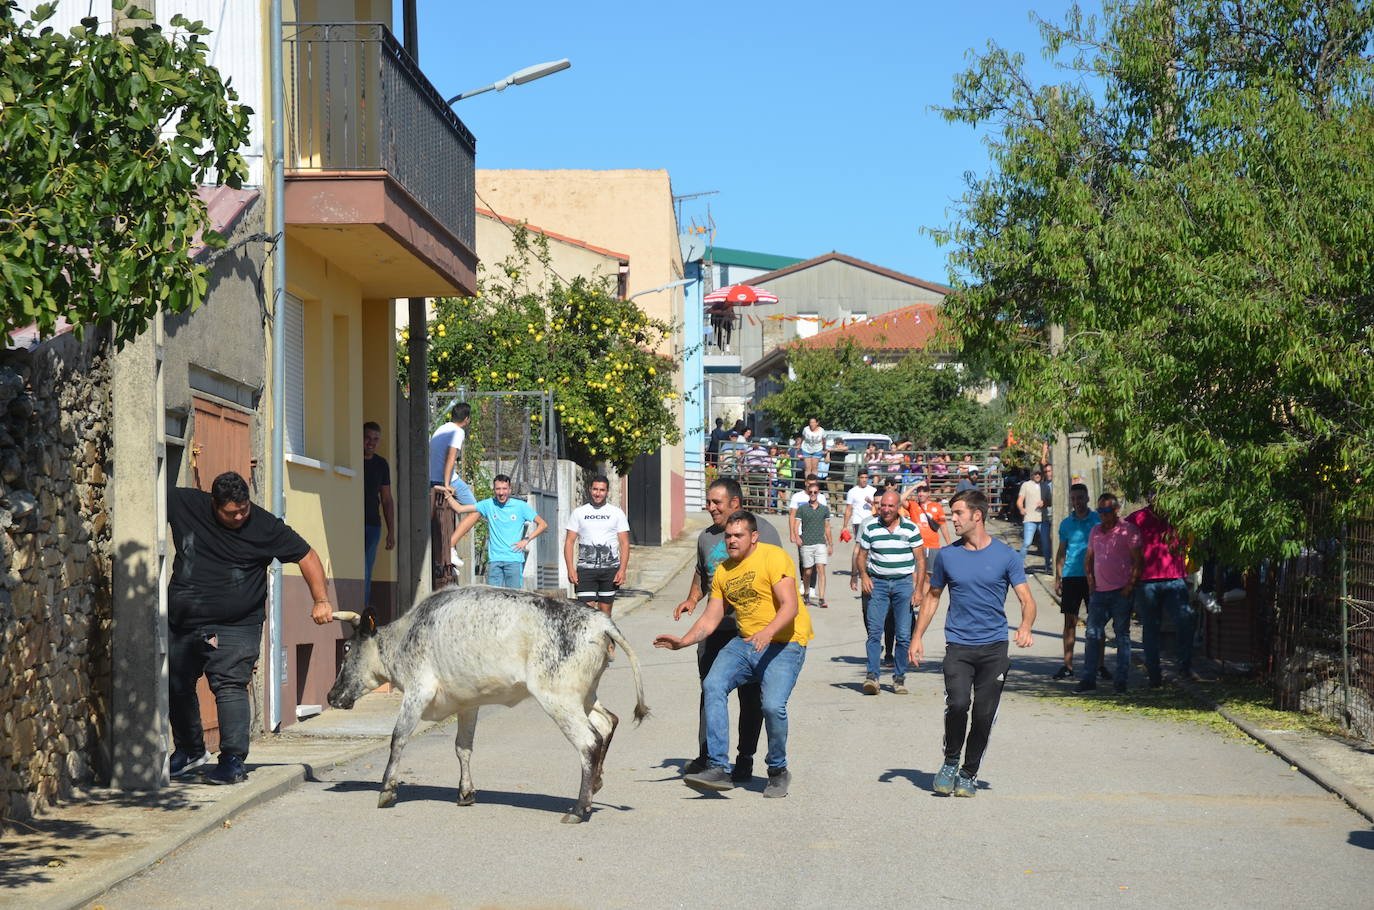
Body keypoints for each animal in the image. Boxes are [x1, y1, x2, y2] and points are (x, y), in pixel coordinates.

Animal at [324, 585, 645, 824]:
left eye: (347, 648)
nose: (330, 696)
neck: (405, 635)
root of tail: (600, 622)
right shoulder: (468, 703)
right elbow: (462, 748)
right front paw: (465, 793)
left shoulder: (418, 691)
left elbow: (398, 738)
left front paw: (387, 790)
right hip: (585, 696)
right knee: (607, 722)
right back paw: (595, 786)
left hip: (559, 698)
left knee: (589, 742)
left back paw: (579, 809)